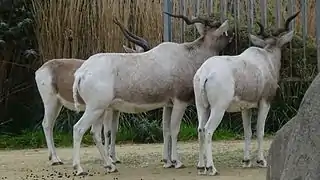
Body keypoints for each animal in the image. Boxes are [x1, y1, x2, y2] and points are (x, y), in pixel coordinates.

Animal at [34, 17, 150, 166]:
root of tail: (42, 69)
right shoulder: (107, 109)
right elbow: (107, 131)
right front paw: (108, 158)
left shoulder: (115, 110)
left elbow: (114, 130)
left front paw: (114, 157)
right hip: (51, 102)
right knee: (47, 124)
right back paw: (55, 159)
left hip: (58, 104)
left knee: (50, 124)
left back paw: (53, 157)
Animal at [71, 11, 234, 175]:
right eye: (222, 30)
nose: (232, 34)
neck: (188, 54)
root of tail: (81, 73)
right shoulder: (180, 102)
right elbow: (174, 129)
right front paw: (177, 161)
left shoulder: (168, 105)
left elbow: (166, 130)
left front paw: (167, 161)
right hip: (95, 108)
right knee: (78, 129)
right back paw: (79, 168)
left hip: (100, 110)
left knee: (95, 133)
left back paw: (110, 166)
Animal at [192, 11, 300, 176]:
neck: (266, 58)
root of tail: (205, 73)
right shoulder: (265, 102)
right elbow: (260, 130)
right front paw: (261, 161)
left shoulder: (245, 108)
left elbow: (247, 132)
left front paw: (246, 161)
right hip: (218, 109)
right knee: (208, 130)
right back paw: (211, 168)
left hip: (202, 106)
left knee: (200, 129)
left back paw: (200, 167)